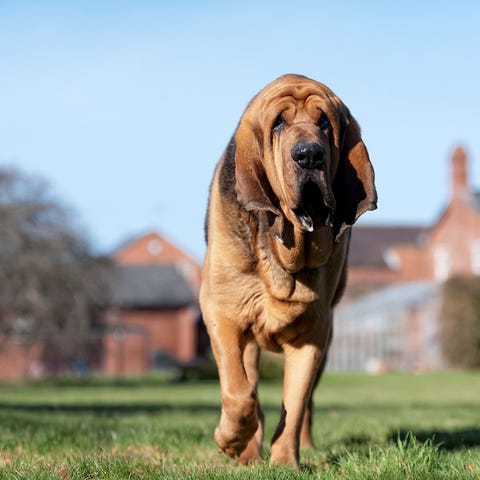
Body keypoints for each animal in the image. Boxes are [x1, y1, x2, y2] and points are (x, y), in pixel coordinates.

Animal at [200, 73, 378, 466]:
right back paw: (247, 450)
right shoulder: (223, 313)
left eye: (324, 123)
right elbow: (240, 393)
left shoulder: (313, 334)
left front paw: (285, 463)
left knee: (307, 403)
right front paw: (231, 440)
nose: (309, 154)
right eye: (279, 123)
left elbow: (294, 404)